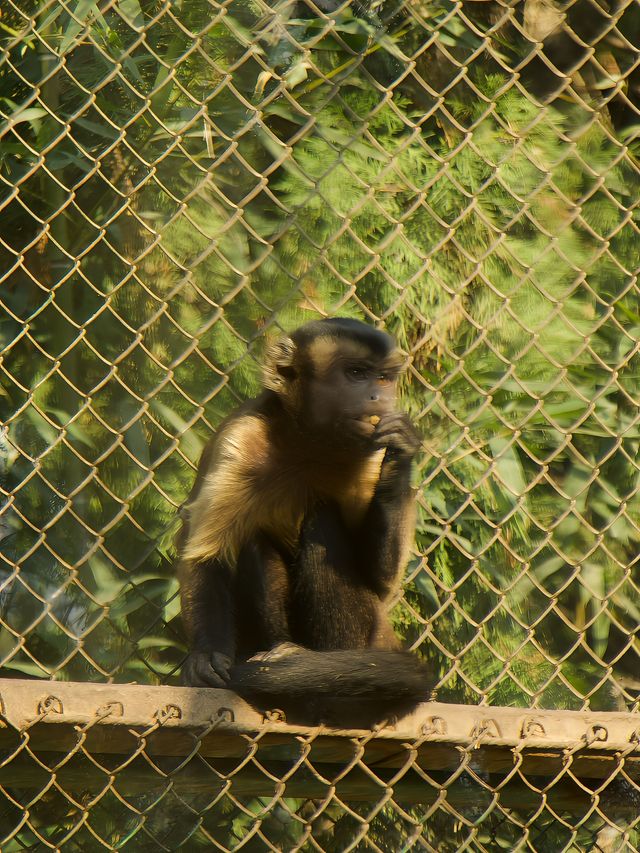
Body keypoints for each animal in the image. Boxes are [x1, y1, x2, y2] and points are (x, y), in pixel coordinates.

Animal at [178, 316, 432, 724]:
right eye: (357, 373)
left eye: (383, 378)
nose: (378, 399)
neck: (309, 441)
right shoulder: (239, 438)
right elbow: (207, 555)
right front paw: (205, 656)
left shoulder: (368, 456)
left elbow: (382, 581)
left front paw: (402, 451)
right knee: (253, 540)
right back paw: (286, 654)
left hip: (373, 635)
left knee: (321, 522)